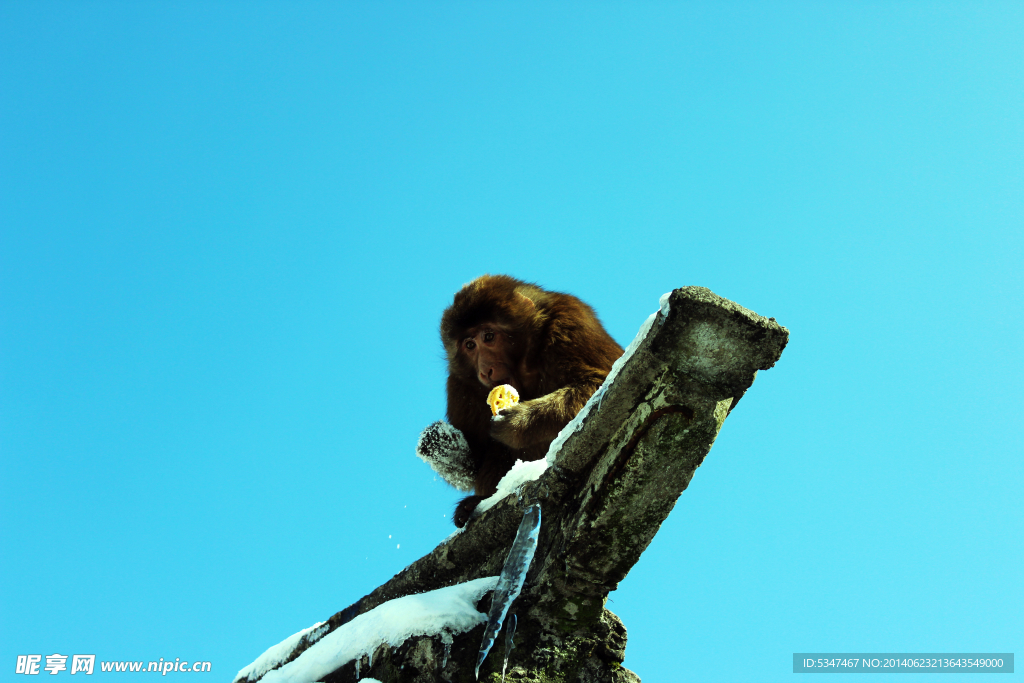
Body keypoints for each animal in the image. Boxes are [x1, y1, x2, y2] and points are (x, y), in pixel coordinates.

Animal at [432, 274, 622, 528]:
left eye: (488, 337)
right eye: (470, 345)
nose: (485, 370)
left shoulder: (569, 323)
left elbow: (600, 382)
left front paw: (519, 422)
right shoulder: (459, 384)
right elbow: (473, 464)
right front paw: (440, 444)